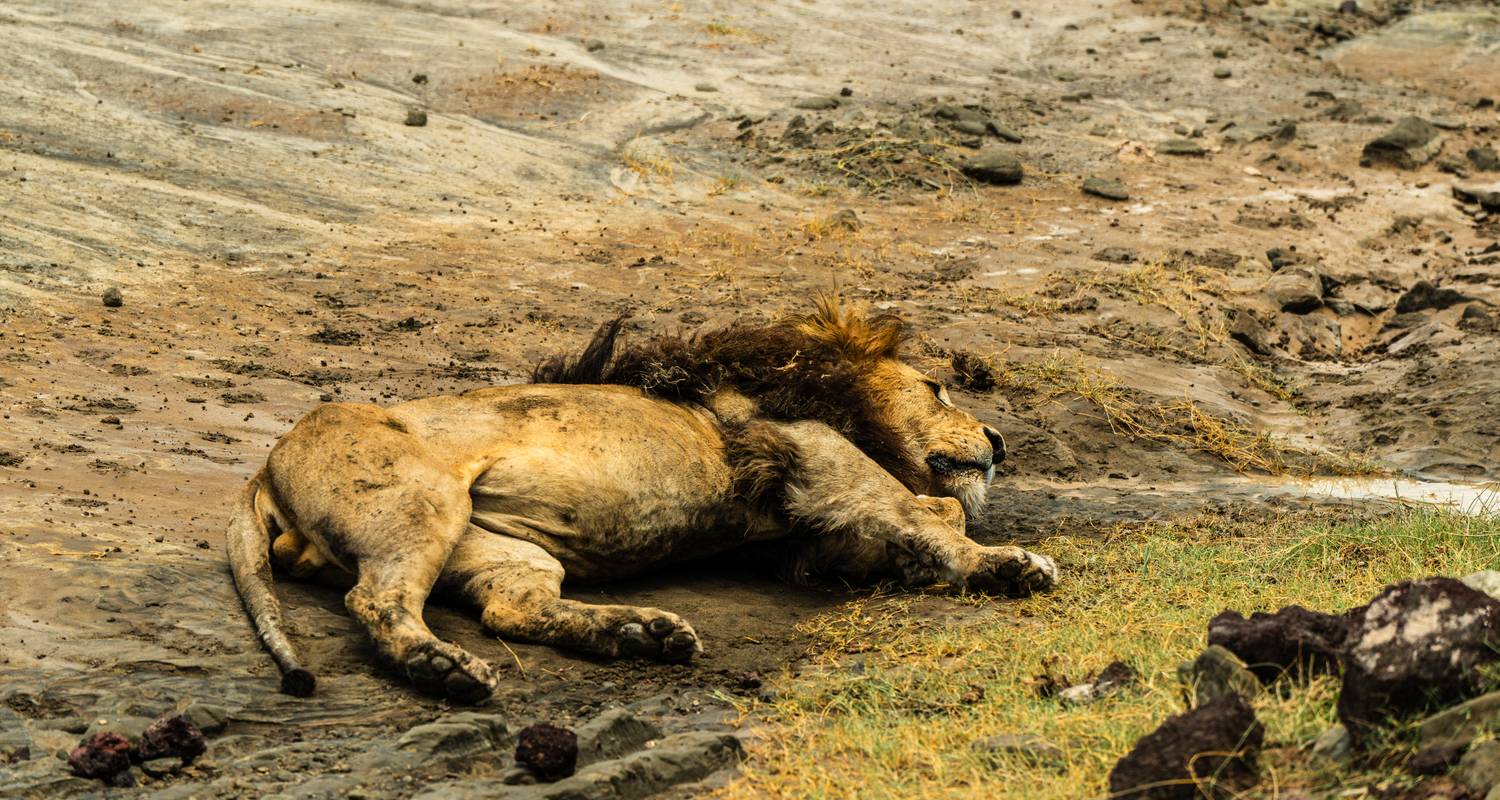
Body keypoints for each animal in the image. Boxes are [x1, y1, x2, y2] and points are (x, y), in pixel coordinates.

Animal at [228, 294, 1062, 699]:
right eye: (935, 387)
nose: (999, 441)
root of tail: (263, 466)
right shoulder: (820, 459)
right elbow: (930, 511)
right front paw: (1006, 565)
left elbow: (917, 521)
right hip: (422, 502)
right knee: (378, 600)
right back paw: (444, 668)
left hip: (504, 548)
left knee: (512, 608)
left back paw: (640, 635)